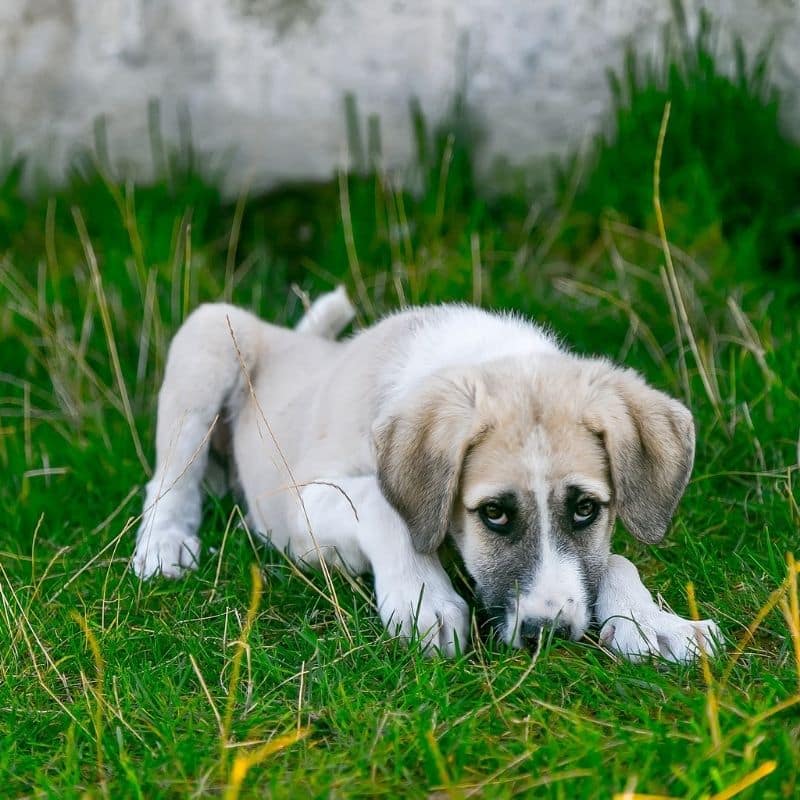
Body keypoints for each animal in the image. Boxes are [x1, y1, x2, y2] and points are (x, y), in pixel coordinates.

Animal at [131, 290, 720, 664]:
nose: (547, 634)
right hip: (210, 336)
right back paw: (164, 543)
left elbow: (614, 559)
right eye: (494, 513)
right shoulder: (303, 503)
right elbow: (382, 504)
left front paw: (653, 622)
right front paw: (422, 599)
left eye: (585, 509)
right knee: (169, 475)